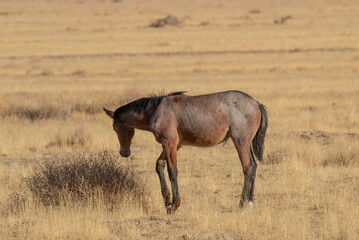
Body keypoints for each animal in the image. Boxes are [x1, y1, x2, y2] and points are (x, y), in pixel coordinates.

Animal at [103, 90, 268, 214]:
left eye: (114, 127)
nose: (124, 152)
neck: (157, 110)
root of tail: (256, 103)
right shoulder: (175, 145)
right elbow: (159, 165)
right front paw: (167, 202)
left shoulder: (169, 143)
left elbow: (172, 171)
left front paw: (175, 205)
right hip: (246, 144)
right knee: (253, 166)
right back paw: (250, 202)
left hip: (240, 142)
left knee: (248, 168)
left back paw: (243, 203)